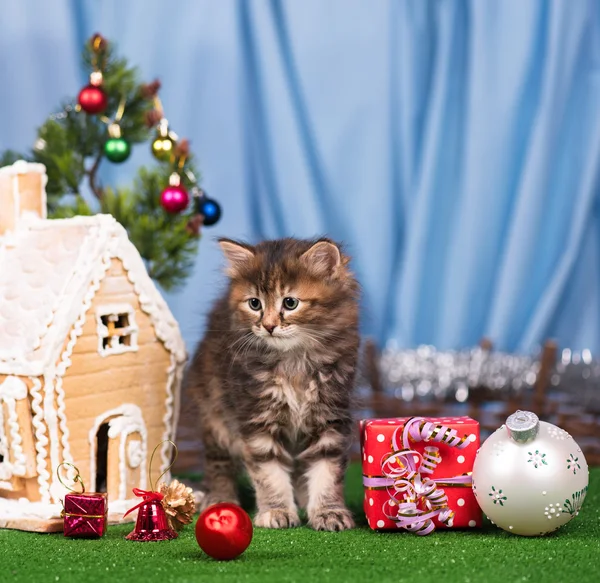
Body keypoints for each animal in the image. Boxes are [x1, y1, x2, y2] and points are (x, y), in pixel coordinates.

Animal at [185, 237, 358, 532]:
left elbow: (327, 470)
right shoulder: (257, 418)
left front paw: (328, 511)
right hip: (215, 415)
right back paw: (220, 498)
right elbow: (269, 471)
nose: (268, 326)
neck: (294, 361)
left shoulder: (330, 416)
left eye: (290, 302)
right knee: (219, 464)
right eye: (255, 303)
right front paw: (276, 511)